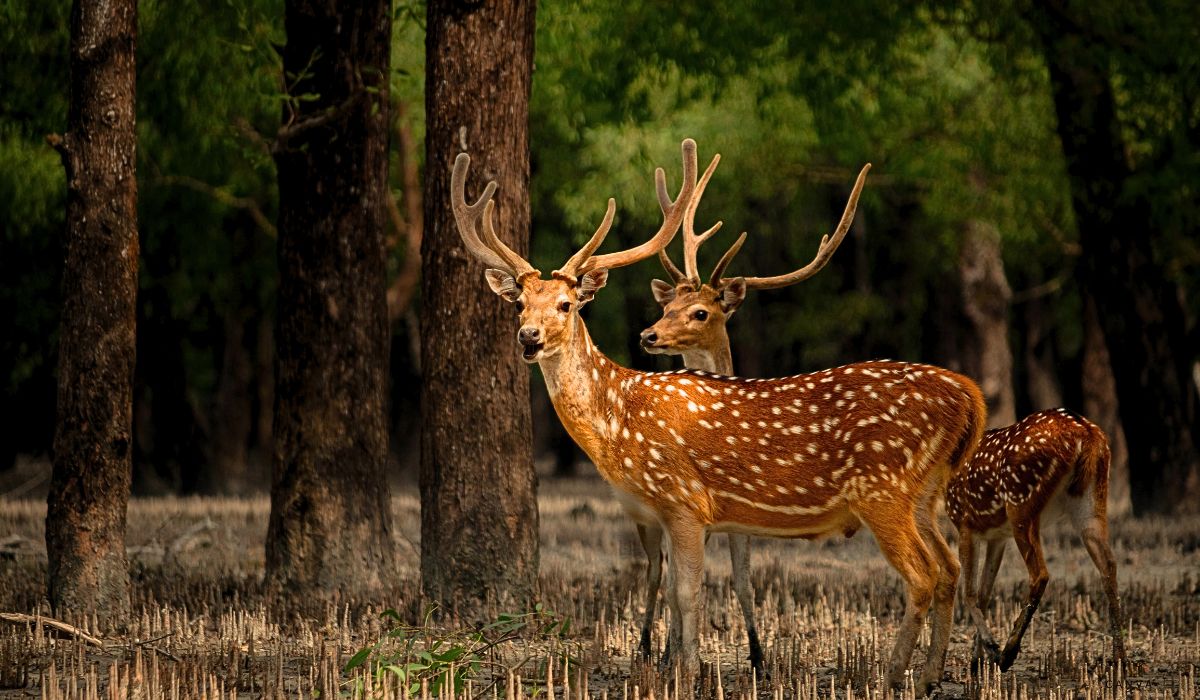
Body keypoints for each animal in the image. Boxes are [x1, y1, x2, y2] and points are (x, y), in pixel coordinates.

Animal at [451, 139, 984, 691]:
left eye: (565, 304)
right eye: (519, 304)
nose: (528, 336)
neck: (621, 419)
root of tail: (970, 396)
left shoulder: (684, 500)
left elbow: (690, 594)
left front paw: (688, 673)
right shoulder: (666, 512)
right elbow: (673, 592)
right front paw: (677, 667)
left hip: (884, 488)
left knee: (922, 574)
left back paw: (894, 677)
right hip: (924, 492)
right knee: (948, 567)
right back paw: (931, 675)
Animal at [945, 408, 1123, 672]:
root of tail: (1086, 433)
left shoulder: (965, 523)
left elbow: (969, 593)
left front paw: (989, 650)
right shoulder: (996, 536)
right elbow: (985, 593)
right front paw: (977, 661)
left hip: (1021, 504)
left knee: (1040, 574)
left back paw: (1008, 654)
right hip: (1092, 503)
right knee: (1108, 565)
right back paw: (1121, 660)